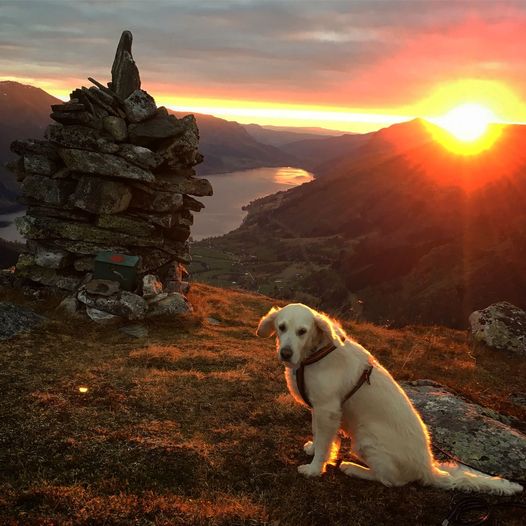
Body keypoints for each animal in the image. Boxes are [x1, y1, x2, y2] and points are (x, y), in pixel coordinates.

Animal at [256, 304, 524, 498]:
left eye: (302, 331)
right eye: (281, 327)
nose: (285, 353)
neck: (315, 353)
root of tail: (428, 468)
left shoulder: (327, 409)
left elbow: (324, 444)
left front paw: (314, 469)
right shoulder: (323, 411)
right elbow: (322, 438)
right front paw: (314, 449)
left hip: (366, 438)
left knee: (391, 481)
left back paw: (353, 468)